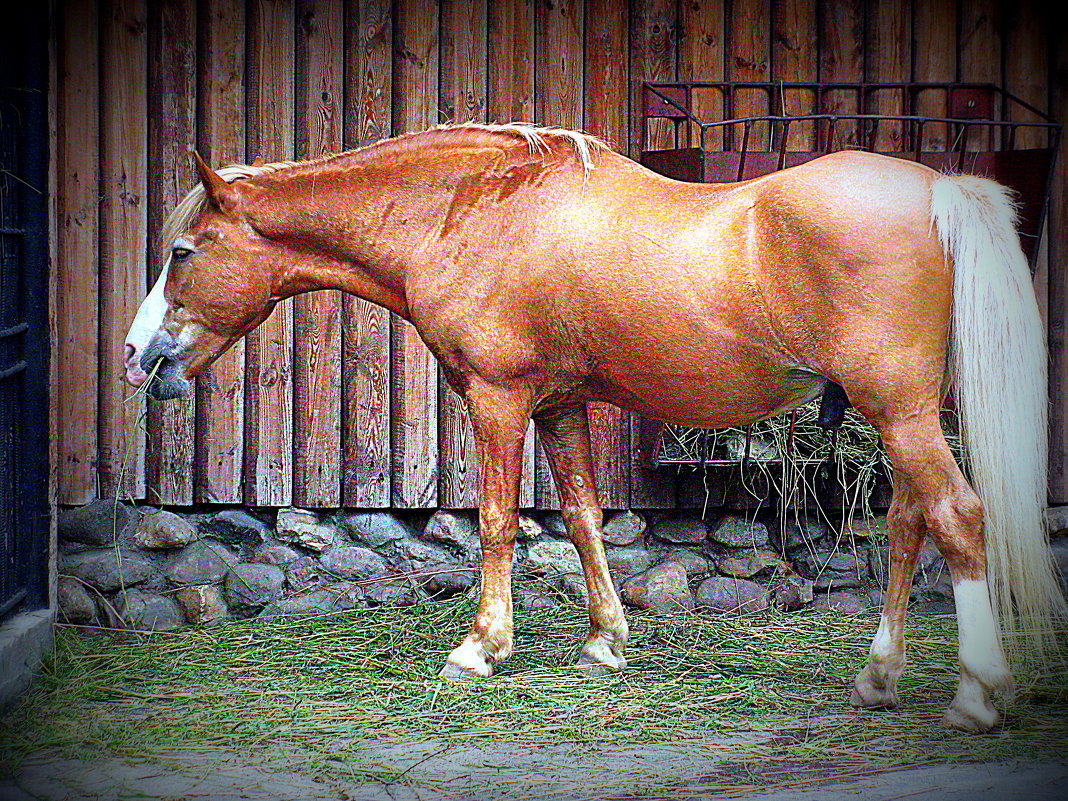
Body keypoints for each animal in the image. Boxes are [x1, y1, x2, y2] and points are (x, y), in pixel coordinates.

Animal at [122, 120, 1059, 734]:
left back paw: (977, 693)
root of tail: (940, 188)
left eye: (183, 252)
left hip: (898, 411)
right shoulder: (559, 405)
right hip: (906, 415)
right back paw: (878, 678)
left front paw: (481, 647)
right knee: (907, 522)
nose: (136, 356)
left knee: (957, 517)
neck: (471, 209)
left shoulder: (497, 398)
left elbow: (497, 520)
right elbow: (581, 518)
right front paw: (606, 642)